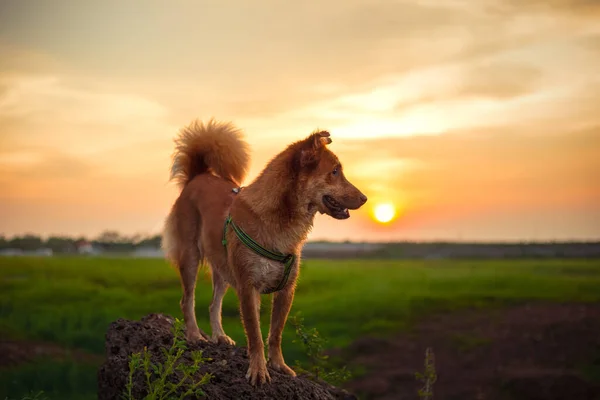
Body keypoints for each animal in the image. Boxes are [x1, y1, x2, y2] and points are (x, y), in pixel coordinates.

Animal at [162, 119, 366, 384]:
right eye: (334, 172)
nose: (365, 198)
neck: (282, 220)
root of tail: (198, 176)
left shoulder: (286, 290)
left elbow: (275, 333)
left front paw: (279, 365)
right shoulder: (249, 288)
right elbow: (255, 335)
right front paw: (259, 370)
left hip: (223, 268)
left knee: (214, 305)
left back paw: (219, 336)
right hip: (190, 258)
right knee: (187, 300)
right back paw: (195, 335)